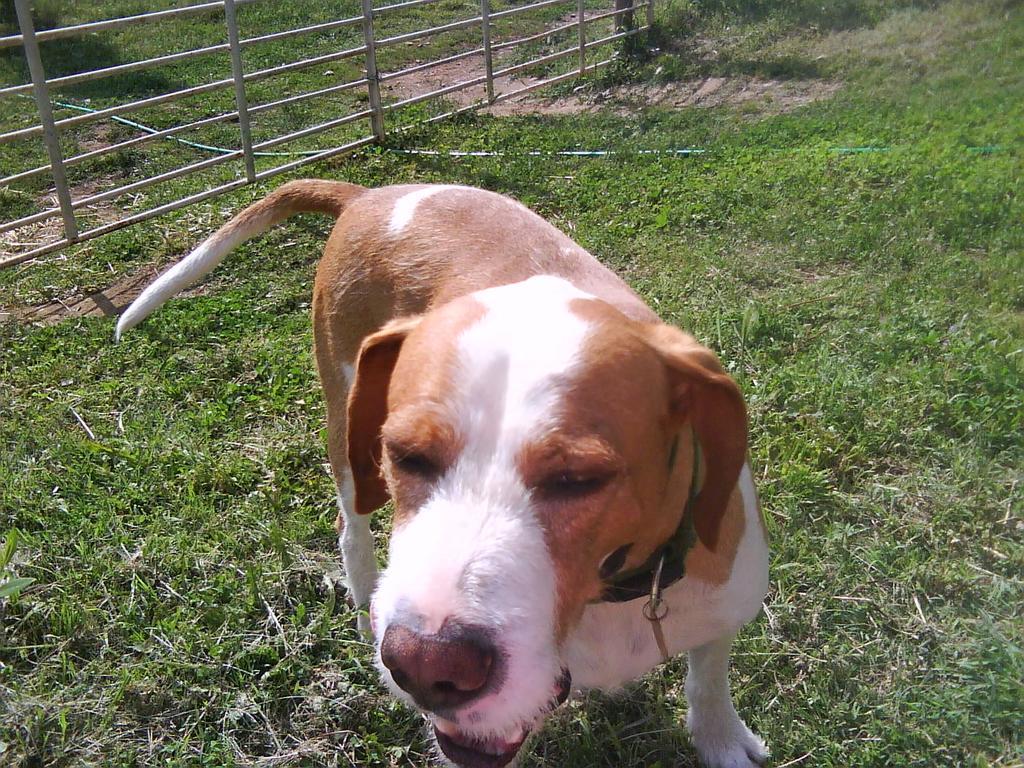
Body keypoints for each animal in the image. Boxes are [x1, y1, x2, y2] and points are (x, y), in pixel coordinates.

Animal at [117, 179, 770, 768]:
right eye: (408, 456)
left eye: (578, 480)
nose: (427, 668)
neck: (615, 595)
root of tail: (369, 195)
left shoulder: (721, 611)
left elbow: (708, 679)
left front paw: (720, 739)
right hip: (346, 436)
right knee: (351, 528)